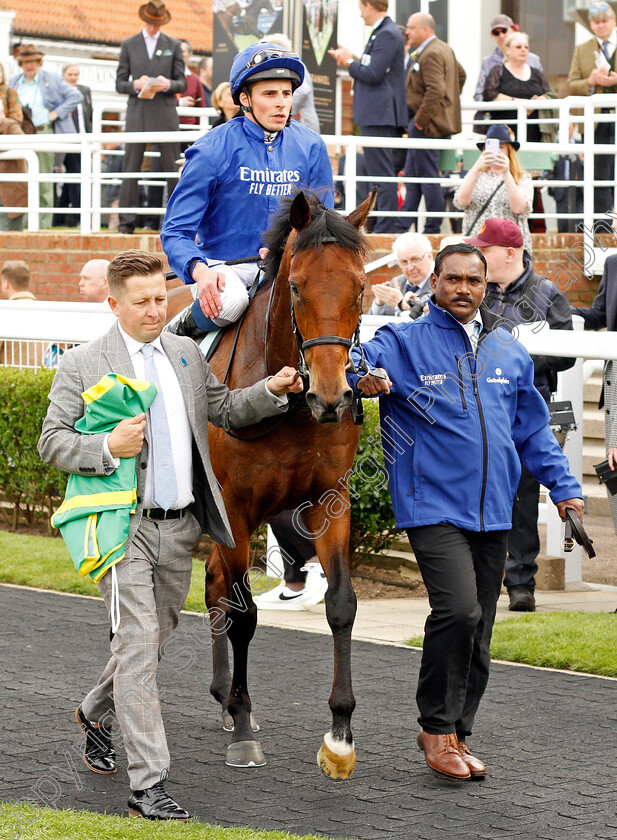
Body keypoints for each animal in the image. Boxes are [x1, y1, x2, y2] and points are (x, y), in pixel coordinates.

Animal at [205, 190, 372, 780]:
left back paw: (222, 696)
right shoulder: (233, 507)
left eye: (360, 286)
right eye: (297, 286)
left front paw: (341, 735)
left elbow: (341, 603)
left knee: (212, 584)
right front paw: (245, 729)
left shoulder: (330, 499)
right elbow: (244, 615)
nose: (331, 394)